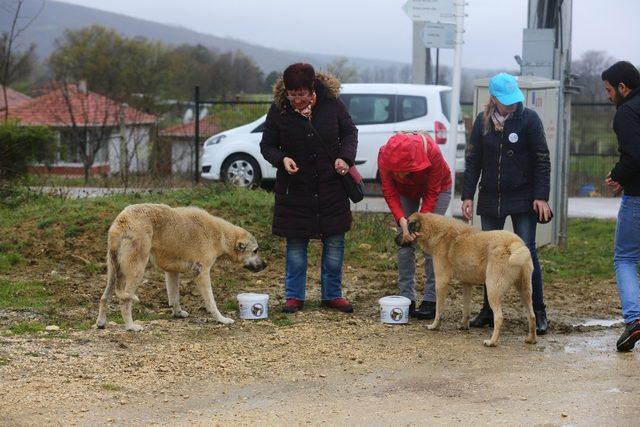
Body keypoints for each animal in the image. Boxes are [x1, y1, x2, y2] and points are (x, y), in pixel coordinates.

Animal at [95, 205, 264, 334]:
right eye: (255, 251)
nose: (265, 265)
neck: (220, 234)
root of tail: (122, 221)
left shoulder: (171, 272)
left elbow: (174, 297)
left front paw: (177, 313)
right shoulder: (202, 273)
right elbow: (211, 302)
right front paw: (221, 319)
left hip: (114, 272)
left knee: (104, 297)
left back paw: (101, 323)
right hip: (136, 271)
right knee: (125, 301)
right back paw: (130, 326)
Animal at [408, 214, 536, 348]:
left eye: (407, 226)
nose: (400, 240)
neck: (439, 231)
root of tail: (514, 242)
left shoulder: (441, 281)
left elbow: (439, 308)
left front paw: (434, 325)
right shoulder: (467, 284)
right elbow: (466, 309)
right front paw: (464, 325)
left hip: (492, 290)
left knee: (499, 318)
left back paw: (492, 341)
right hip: (525, 291)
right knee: (532, 315)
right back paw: (531, 339)